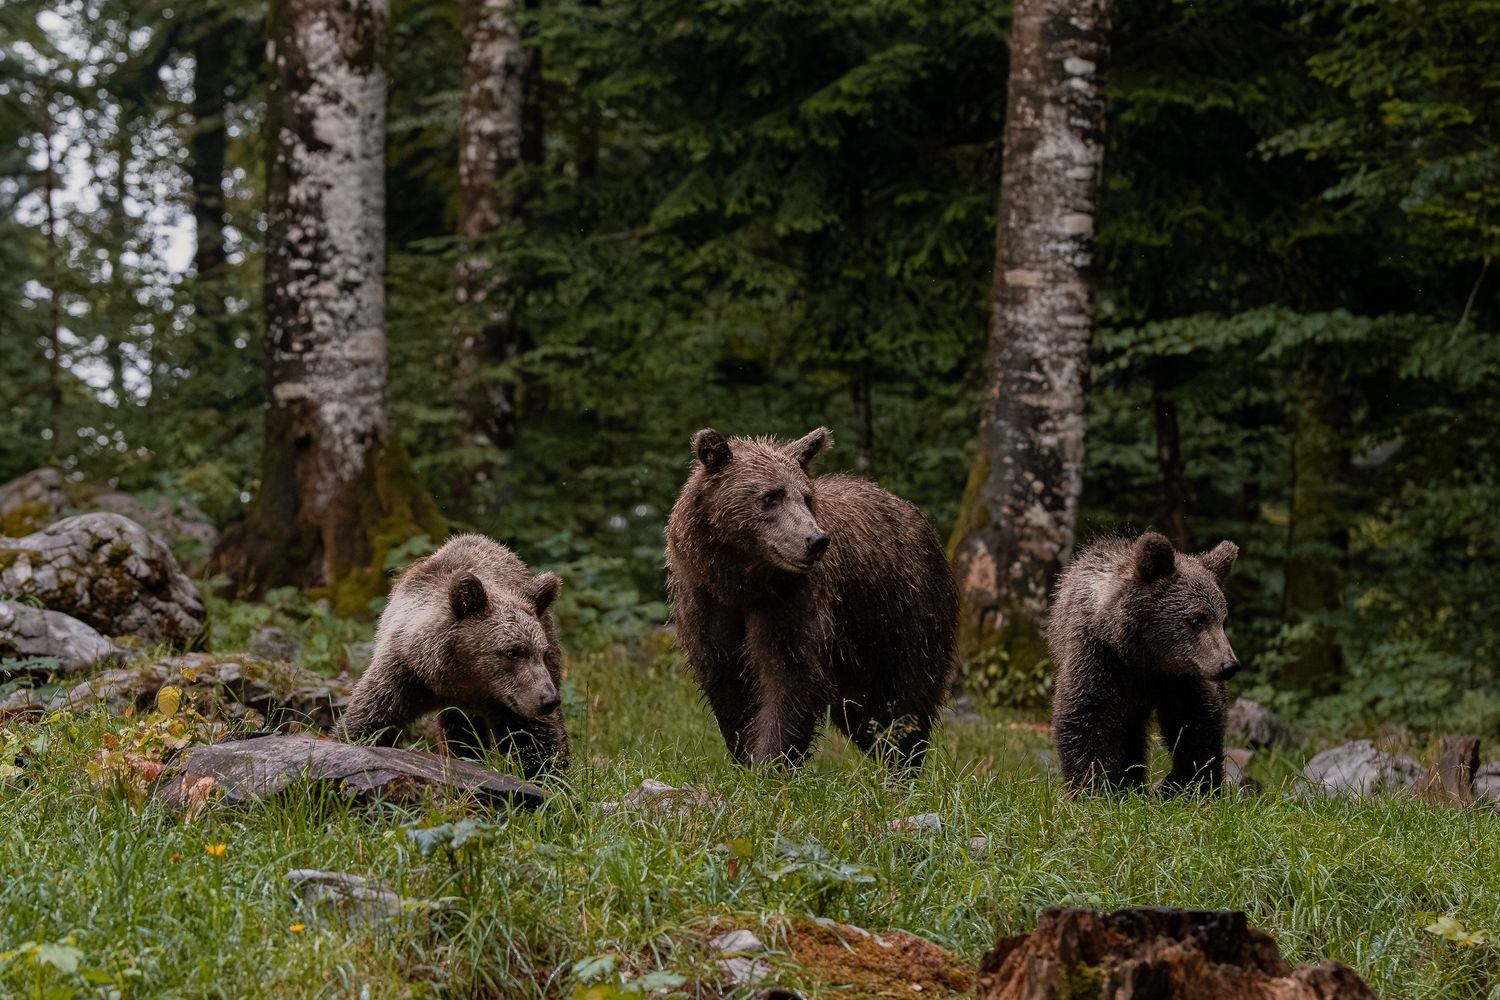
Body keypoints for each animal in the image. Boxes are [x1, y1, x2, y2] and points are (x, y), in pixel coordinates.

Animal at [340, 533, 569, 777]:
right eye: (512, 652)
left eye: (541, 652)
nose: (549, 699)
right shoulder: (404, 674)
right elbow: (368, 720)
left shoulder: (511, 699)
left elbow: (534, 740)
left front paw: (544, 776)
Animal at [665, 426, 958, 771]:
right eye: (770, 496)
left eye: (806, 496)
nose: (816, 540)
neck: (740, 582)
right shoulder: (705, 601)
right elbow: (727, 683)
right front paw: (745, 756)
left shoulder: (793, 602)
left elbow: (791, 678)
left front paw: (769, 764)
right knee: (864, 717)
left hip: (903, 616)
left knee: (904, 702)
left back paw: (902, 765)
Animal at [1046, 531, 1241, 792]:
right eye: (1197, 619)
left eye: (1222, 620)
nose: (1228, 665)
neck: (1145, 658)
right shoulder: (1097, 657)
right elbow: (1086, 718)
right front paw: (1094, 786)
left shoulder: (1182, 677)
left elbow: (1195, 724)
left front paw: (1191, 783)